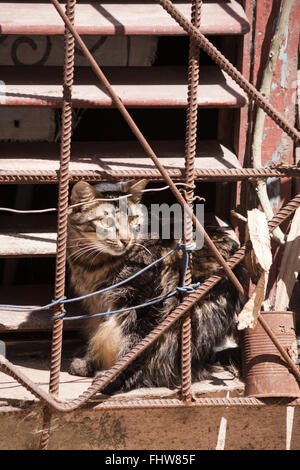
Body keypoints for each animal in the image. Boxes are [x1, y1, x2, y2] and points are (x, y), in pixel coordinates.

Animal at [67, 180, 244, 392]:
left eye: (133, 218)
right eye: (107, 222)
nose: (126, 240)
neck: (94, 264)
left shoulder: (146, 301)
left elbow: (134, 345)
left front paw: (115, 379)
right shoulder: (99, 305)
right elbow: (98, 330)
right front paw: (87, 362)